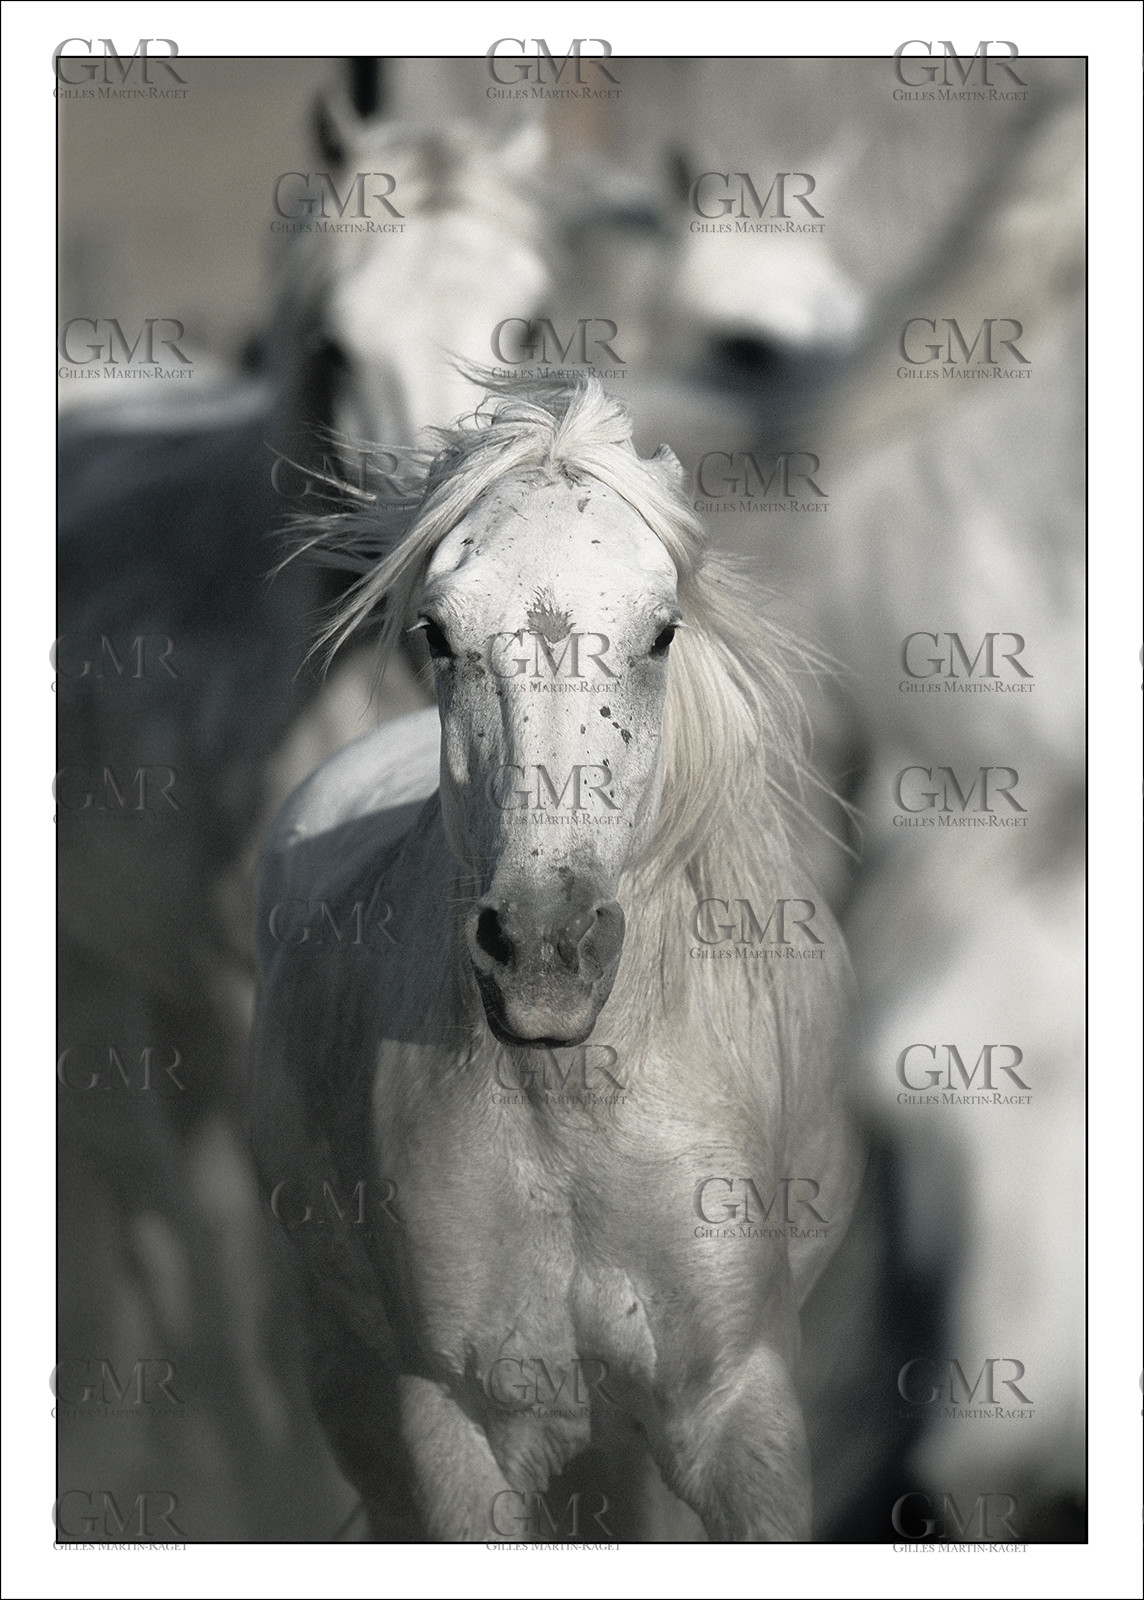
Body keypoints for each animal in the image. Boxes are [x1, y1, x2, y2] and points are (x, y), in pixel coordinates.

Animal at [251, 372, 864, 1542]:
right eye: (438, 632)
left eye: (662, 631)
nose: (543, 952)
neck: (570, 1110)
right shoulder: (451, 1428)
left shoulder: (737, 1408)